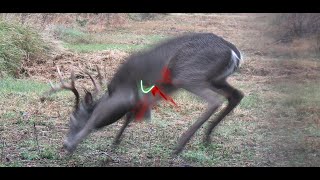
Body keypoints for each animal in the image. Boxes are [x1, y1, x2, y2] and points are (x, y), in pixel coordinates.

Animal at [41, 32, 244, 156]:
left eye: (72, 119)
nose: (64, 143)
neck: (115, 88)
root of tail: (234, 52)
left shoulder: (123, 95)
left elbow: (95, 120)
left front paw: (73, 146)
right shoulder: (154, 92)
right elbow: (130, 115)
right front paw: (115, 142)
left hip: (188, 75)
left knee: (214, 100)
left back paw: (180, 145)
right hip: (215, 79)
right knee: (237, 95)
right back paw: (207, 137)